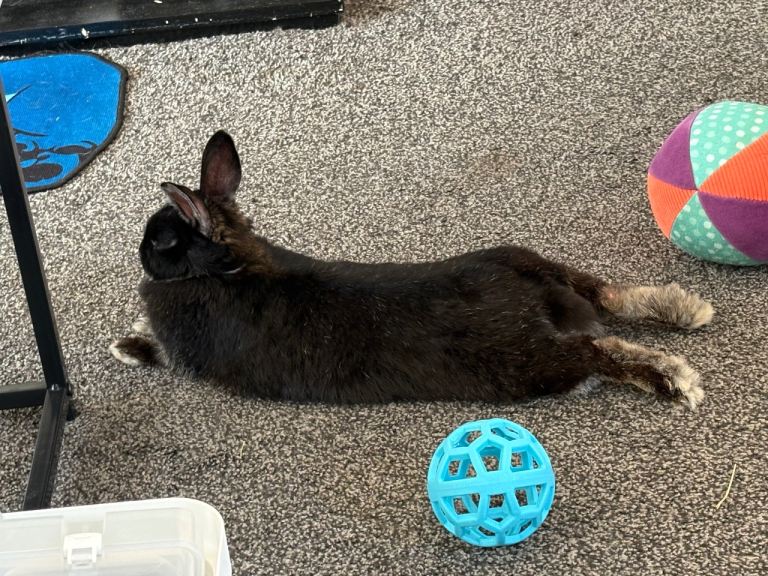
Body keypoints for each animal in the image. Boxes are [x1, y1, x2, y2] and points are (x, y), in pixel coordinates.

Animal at [110, 131, 712, 408]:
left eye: (161, 239)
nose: (140, 251)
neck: (229, 266)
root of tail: (541, 301)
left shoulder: (184, 354)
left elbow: (152, 350)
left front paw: (123, 347)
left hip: (531, 368)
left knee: (597, 353)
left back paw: (674, 380)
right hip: (530, 263)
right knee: (609, 301)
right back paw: (686, 314)